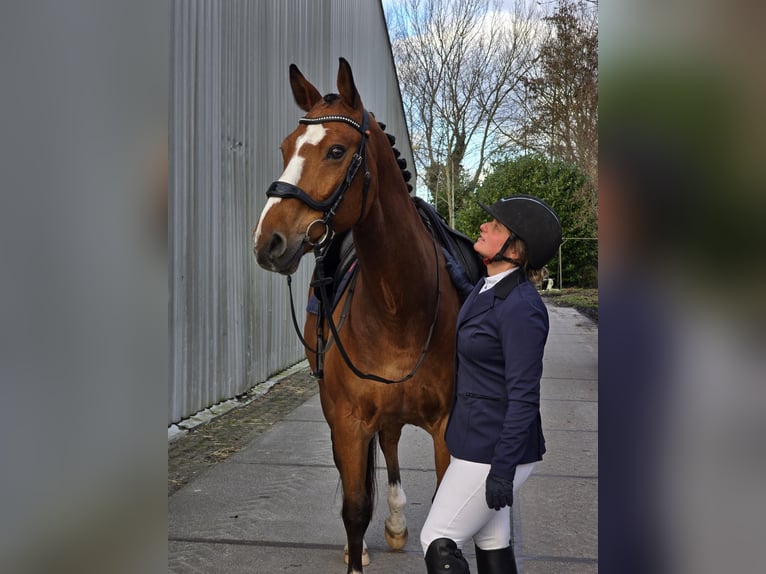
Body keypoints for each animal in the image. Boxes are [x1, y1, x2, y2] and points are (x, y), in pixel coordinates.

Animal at [253, 58, 463, 574]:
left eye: (335, 150)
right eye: (286, 147)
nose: (268, 241)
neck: (397, 306)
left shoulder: (447, 426)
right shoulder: (347, 420)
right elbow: (354, 508)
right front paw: (355, 547)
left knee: (388, 443)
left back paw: (396, 523)